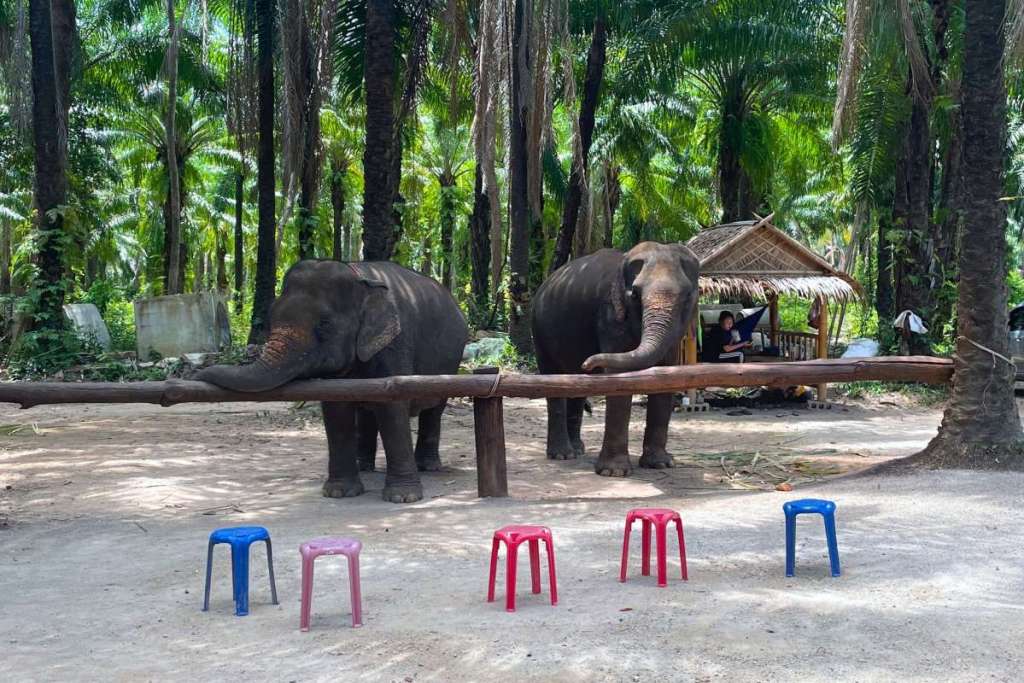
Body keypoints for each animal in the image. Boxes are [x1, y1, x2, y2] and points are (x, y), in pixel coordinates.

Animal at [198, 260, 469, 503]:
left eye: (325, 324)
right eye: (269, 320)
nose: (197, 374)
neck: (360, 276)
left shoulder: (395, 344)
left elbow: (392, 407)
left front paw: (403, 498)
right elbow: (336, 409)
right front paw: (339, 492)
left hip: (450, 364)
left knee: (433, 411)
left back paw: (428, 466)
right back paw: (364, 466)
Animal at [531, 241, 700, 477]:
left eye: (687, 296)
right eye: (634, 294)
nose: (588, 362)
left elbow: (666, 374)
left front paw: (661, 464)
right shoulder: (610, 314)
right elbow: (619, 378)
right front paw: (614, 472)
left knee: (576, 386)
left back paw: (578, 449)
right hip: (539, 330)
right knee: (553, 377)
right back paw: (562, 455)